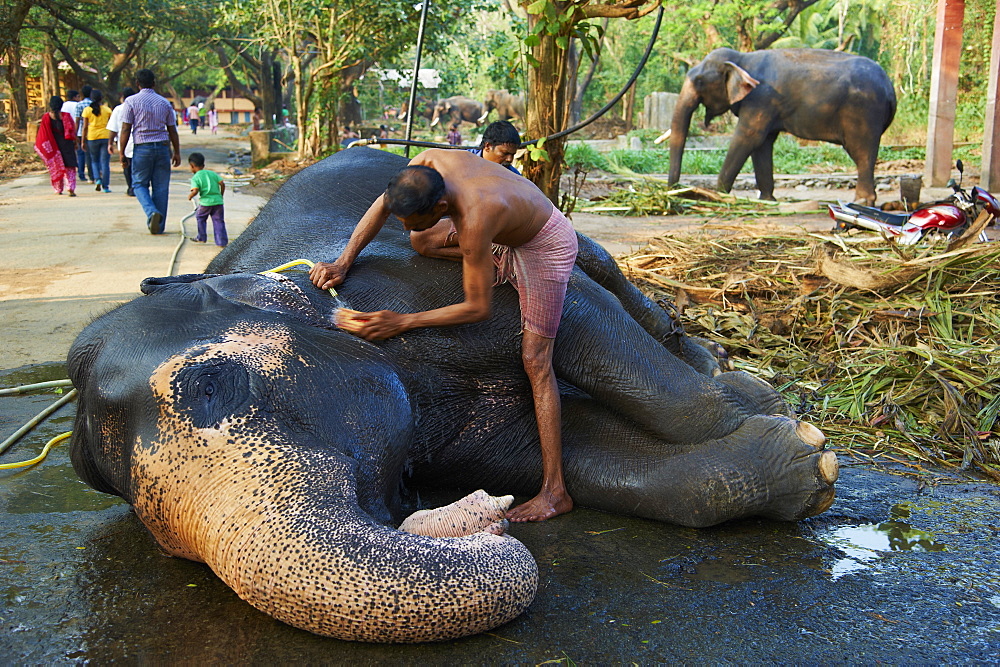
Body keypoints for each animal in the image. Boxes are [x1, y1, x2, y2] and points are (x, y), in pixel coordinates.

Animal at [66, 149, 840, 644]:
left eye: (213, 383)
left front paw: (799, 435)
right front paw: (799, 465)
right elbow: (574, 449)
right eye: (168, 547)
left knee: (605, 277)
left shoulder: (420, 279)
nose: (490, 525)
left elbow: (581, 324)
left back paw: (729, 369)